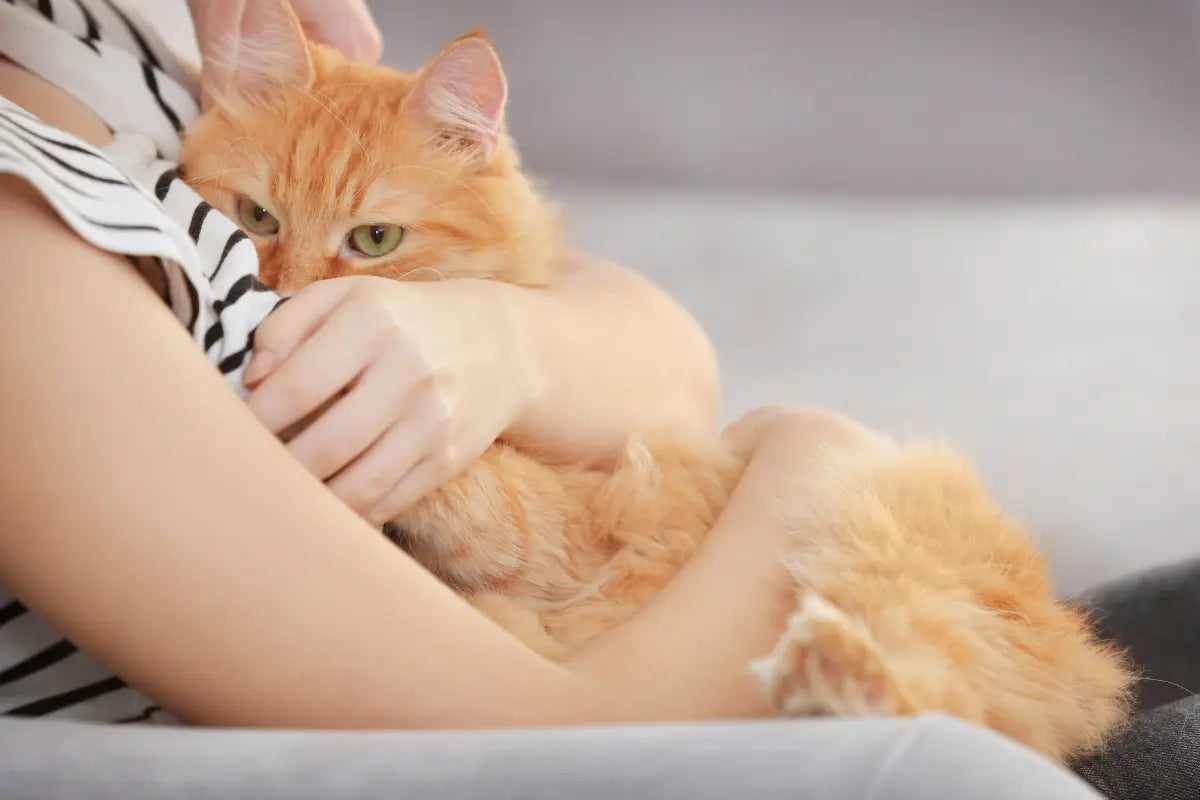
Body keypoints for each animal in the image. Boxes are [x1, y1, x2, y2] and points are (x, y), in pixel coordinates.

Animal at [180, 1, 1132, 762]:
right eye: (257, 216)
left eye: (376, 240)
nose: (287, 299)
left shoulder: (616, 522)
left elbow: (496, 494)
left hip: (882, 536)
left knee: (948, 708)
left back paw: (832, 674)